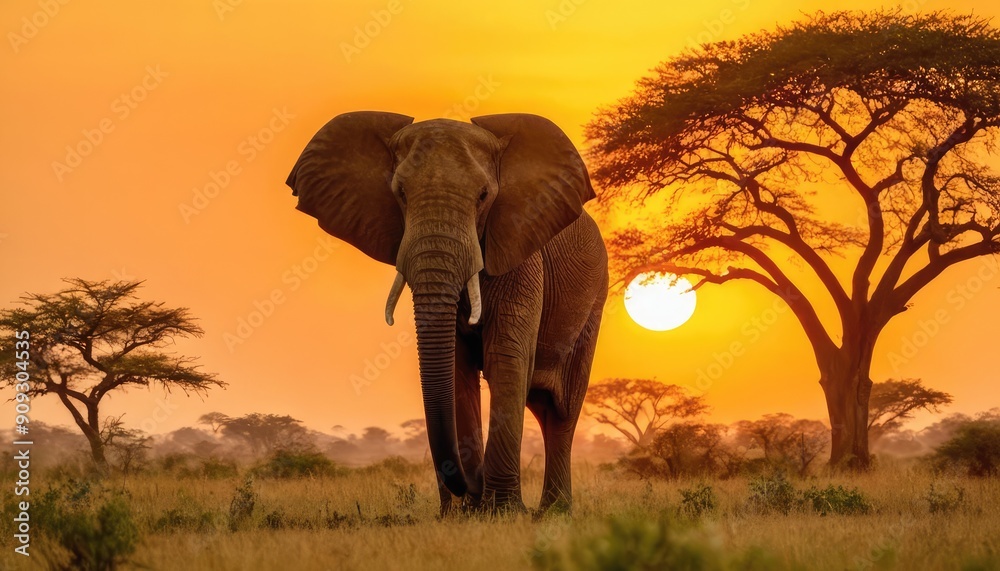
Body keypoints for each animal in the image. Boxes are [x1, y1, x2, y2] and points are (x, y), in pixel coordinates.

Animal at [285, 111, 607, 515]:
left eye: (484, 196)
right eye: (400, 194)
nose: (468, 485)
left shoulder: (520, 250)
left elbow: (505, 358)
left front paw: (501, 511)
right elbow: (456, 366)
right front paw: (463, 514)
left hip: (594, 302)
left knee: (562, 410)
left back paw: (554, 511)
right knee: (542, 405)